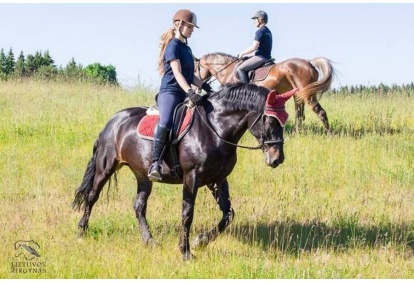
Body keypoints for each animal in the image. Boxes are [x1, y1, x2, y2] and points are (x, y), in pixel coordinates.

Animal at [73, 84, 296, 262]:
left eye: (284, 120)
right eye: (270, 121)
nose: (277, 159)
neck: (215, 129)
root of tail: (113, 121)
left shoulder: (218, 179)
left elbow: (228, 214)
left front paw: (201, 241)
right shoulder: (192, 177)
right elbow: (187, 214)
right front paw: (186, 251)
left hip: (142, 174)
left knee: (139, 206)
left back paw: (149, 241)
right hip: (106, 166)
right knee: (92, 196)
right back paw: (82, 231)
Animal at [196, 52, 334, 133]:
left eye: (196, 68)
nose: (197, 86)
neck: (229, 70)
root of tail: (309, 62)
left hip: (308, 95)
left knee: (320, 112)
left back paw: (329, 134)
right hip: (299, 94)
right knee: (299, 115)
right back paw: (297, 133)